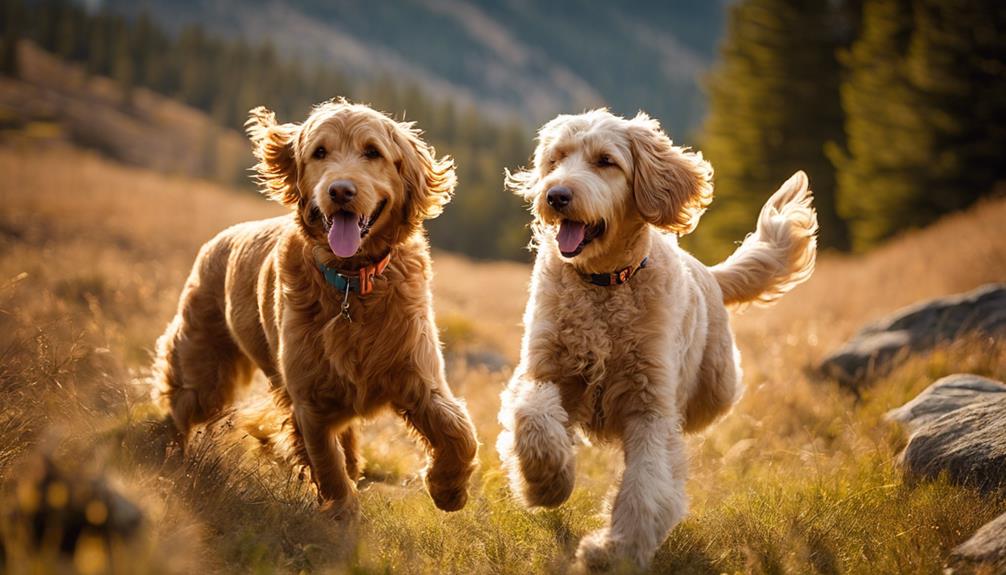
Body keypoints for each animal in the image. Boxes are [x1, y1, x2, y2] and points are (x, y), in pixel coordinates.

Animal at [152, 100, 478, 522]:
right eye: (320, 152)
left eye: (372, 152)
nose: (340, 190)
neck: (352, 283)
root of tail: (219, 238)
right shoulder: (311, 403)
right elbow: (328, 466)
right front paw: (342, 516)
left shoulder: (417, 375)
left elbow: (459, 431)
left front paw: (448, 489)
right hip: (206, 373)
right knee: (179, 408)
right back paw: (170, 458)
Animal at [496, 109, 816, 570]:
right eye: (556, 159)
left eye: (606, 161)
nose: (555, 195)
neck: (604, 286)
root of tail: (708, 273)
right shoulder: (543, 370)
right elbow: (533, 417)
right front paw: (546, 481)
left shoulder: (651, 405)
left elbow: (646, 483)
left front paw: (615, 550)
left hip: (716, 387)